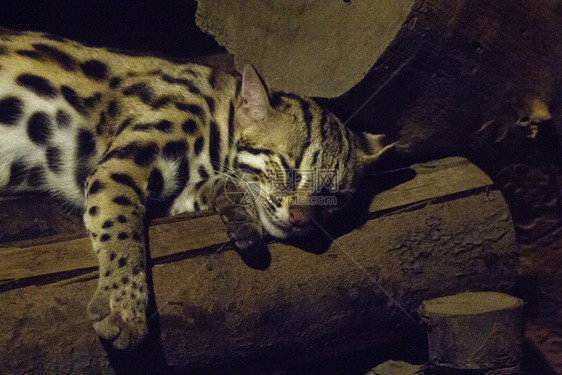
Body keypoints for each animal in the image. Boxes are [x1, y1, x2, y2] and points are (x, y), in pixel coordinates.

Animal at [0, 28, 392, 350]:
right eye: (291, 169)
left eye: (335, 197)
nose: (301, 219)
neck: (219, 119)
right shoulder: (118, 166)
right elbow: (122, 228)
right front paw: (124, 305)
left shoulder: (171, 194)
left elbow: (202, 191)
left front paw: (238, 212)